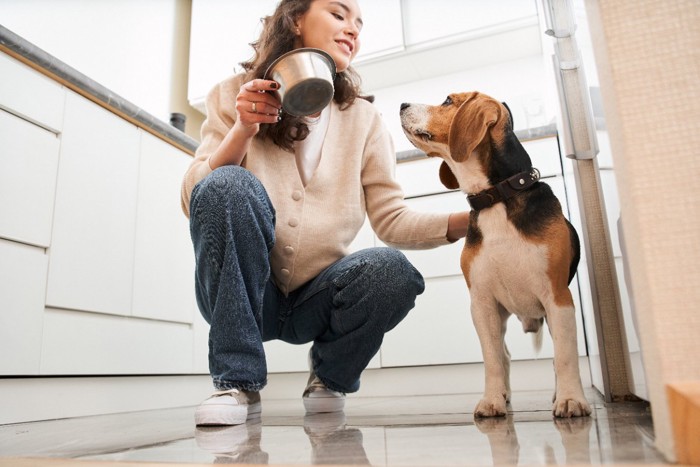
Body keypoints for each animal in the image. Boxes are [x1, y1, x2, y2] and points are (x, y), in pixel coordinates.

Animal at [400, 89, 592, 418]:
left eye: (448, 101)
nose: (401, 105)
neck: (497, 197)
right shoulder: (483, 303)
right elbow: (492, 358)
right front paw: (492, 399)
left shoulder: (558, 297)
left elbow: (566, 356)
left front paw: (571, 399)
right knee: (504, 355)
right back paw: (505, 394)